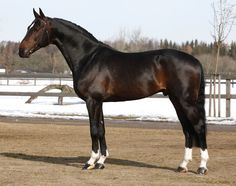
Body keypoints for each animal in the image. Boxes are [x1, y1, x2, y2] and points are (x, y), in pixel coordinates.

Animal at [19, 8, 209, 174]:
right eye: (29, 27)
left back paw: (202, 167)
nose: (21, 51)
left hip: (186, 102)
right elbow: (102, 130)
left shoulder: (92, 101)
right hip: (176, 100)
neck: (88, 58)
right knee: (187, 129)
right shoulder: (100, 102)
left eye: (37, 27)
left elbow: (93, 130)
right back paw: (182, 166)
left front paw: (90, 162)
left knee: (198, 127)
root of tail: (195, 61)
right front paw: (101, 162)